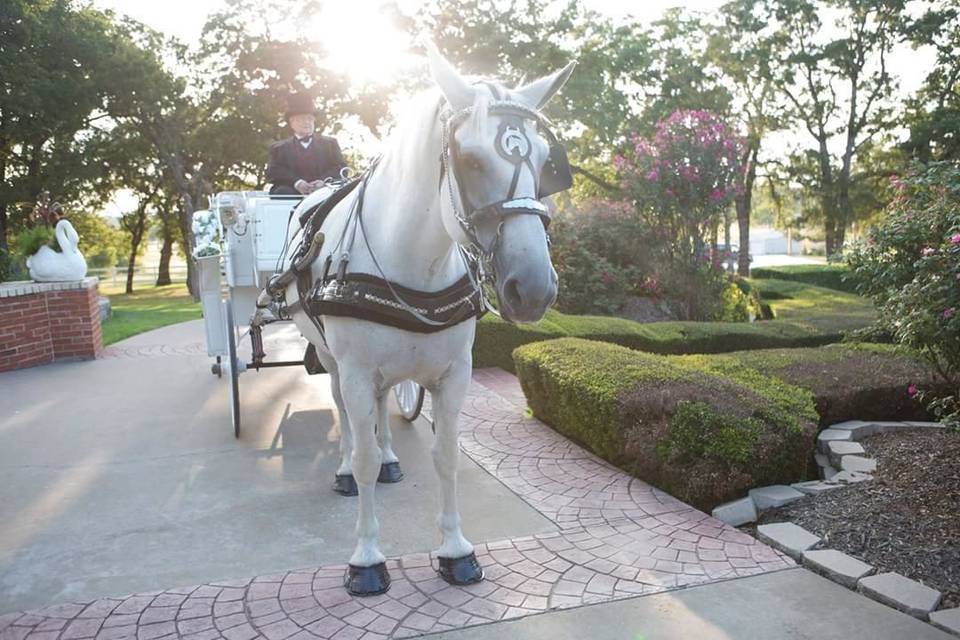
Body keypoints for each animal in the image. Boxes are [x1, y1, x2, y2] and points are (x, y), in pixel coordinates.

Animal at [282, 46, 572, 596]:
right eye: (470, 159)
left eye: (546, 162)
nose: (534, 288)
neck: (414, 261)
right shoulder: (355, 370)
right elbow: (363, 454)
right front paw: (367, 558)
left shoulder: (453, 375)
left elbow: (446, 456)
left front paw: (455, 550)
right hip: (331, 357)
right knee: (344, 413)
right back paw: (347, 468)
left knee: (381, 408)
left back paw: (392, 458)